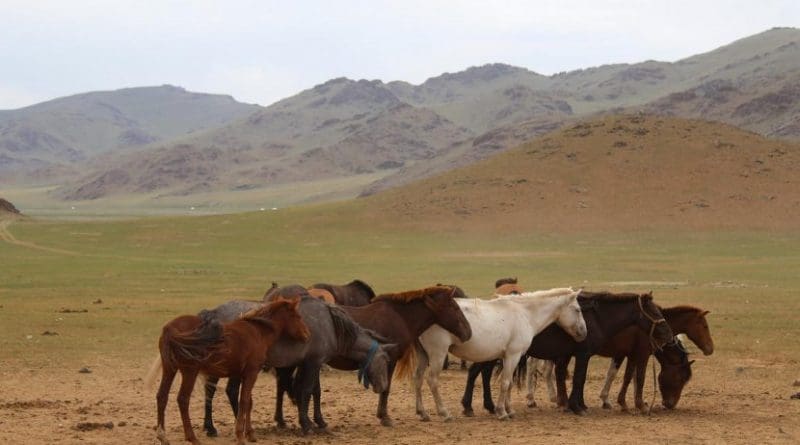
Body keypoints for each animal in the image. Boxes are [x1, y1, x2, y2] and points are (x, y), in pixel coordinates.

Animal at [152, 296, 310, 444]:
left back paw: (162, 436)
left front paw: (250, 433)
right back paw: (192, 438)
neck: (258, 332)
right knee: (183, 399)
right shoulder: (252, 373)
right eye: (298, 316)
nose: (307, 334)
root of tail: (170, 328)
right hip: (190, 372)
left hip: (170, 369)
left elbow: (248, 402)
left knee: (162, 396)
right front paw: (240, 435)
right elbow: (244, 401)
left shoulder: (240, 374)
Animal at [203, 288, 396, 434]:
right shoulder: (313, 363)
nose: (383, 387)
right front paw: (307, 424)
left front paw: (318, 421)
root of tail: (215, 313)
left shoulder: (309, 364)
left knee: (211, 390)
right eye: (385, 360)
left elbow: (312, 392)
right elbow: (307, 390)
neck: (330, 325)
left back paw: (210, 427)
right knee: (231, 391)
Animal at [412, 288, 588, 420]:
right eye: (578, 310)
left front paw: (509, 410)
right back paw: (444, 413)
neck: (524, 313)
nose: (584, 333)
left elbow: (509, 384)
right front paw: (502, 412)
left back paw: (422, 413)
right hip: (438, 355)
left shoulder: (508, 357)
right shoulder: (513, 355)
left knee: (418, 379)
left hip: (424, 355)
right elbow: (505, 383)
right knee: (432, 380)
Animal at [462, 290, 676, 414]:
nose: (669, 334)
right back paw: (470, 407)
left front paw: (578, 404)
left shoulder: (580, 355)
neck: (597, 318)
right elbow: (578, 378)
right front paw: (576, 407)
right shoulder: (582, 354)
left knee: (482, 373)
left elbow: (576, 378)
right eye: (654, 311)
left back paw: (487, 406)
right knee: (475, 373)